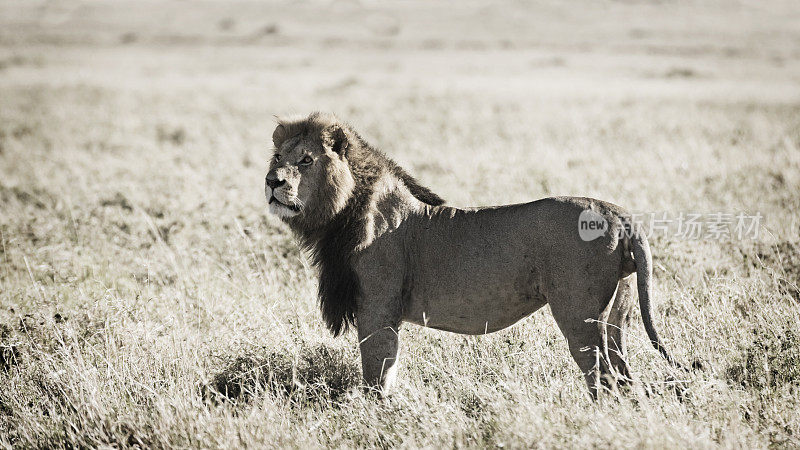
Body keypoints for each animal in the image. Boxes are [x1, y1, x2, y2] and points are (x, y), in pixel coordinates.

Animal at [264, 111, 688, 398]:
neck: (342, 210)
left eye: (306, 160)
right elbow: (386, 369)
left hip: (579, 313)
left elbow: (377, 374)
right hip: (618, 312)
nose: (272, 181)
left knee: (604, 377)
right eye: (277, 158)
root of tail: (619, 214)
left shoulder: (377, 307)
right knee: (625, 376)